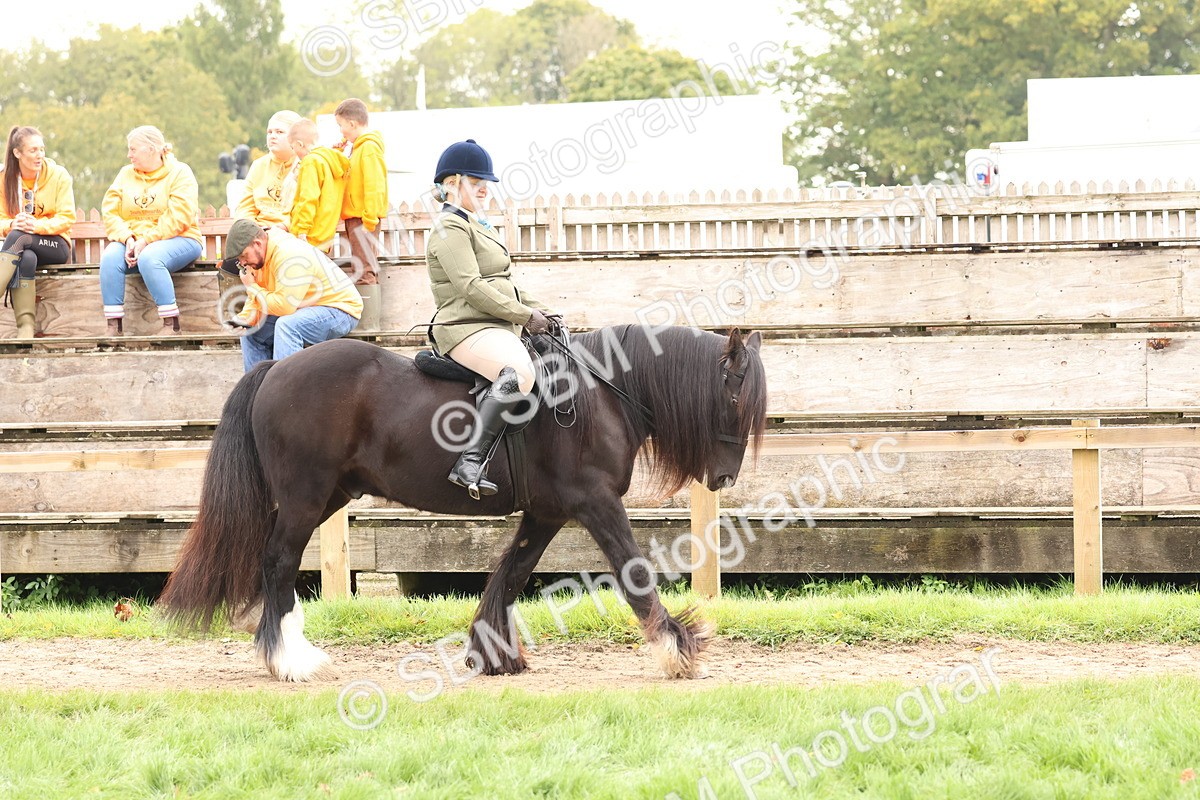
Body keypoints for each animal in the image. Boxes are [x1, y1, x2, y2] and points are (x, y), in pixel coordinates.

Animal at [158, 324, 767, 682]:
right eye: (735, 394)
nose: (725, 477)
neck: (598, 395)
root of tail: (277, 367)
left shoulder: (547, 512)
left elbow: (511, 573)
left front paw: (493, 655)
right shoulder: (596, 503)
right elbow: (634, 571)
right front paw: (677, 648)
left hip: (327, 495)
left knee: (268, 555)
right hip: (305, 498)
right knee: (278, 560)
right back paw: (289, 659)